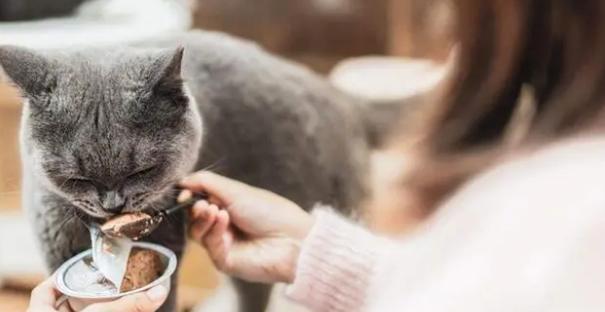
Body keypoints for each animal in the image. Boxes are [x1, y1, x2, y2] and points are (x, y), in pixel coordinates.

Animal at [2, 29, 404, 312]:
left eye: (141, 171)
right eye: (77, 178)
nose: (112, 204)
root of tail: (336, 92)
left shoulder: (169, 246)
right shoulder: (54, 244)